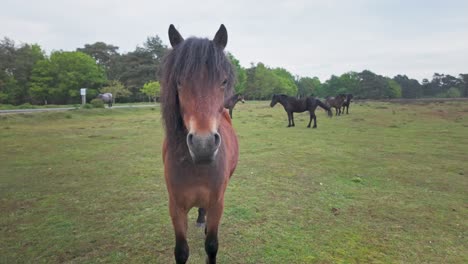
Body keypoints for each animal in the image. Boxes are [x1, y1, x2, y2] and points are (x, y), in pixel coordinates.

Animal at [162, 24, 241, 264]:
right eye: (179, 81)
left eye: (223, 81)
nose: (203, 145)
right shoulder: (176, 207)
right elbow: (181, 251)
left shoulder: (217, 203)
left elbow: (212, 245)